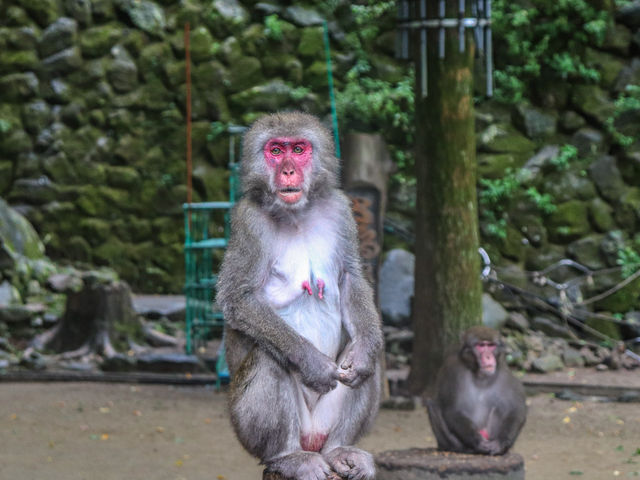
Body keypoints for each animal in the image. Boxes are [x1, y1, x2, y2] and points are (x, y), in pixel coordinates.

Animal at [428, 324, 528, 456]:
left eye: (491, 346)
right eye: (481, 346)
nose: (488, 356)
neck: (480, 376)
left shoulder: (504, 373)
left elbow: (516, 409)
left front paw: (500, 443)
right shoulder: (452, 370)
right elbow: (453, 410)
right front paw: (477, 442)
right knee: (432, 404)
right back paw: (461, 448)